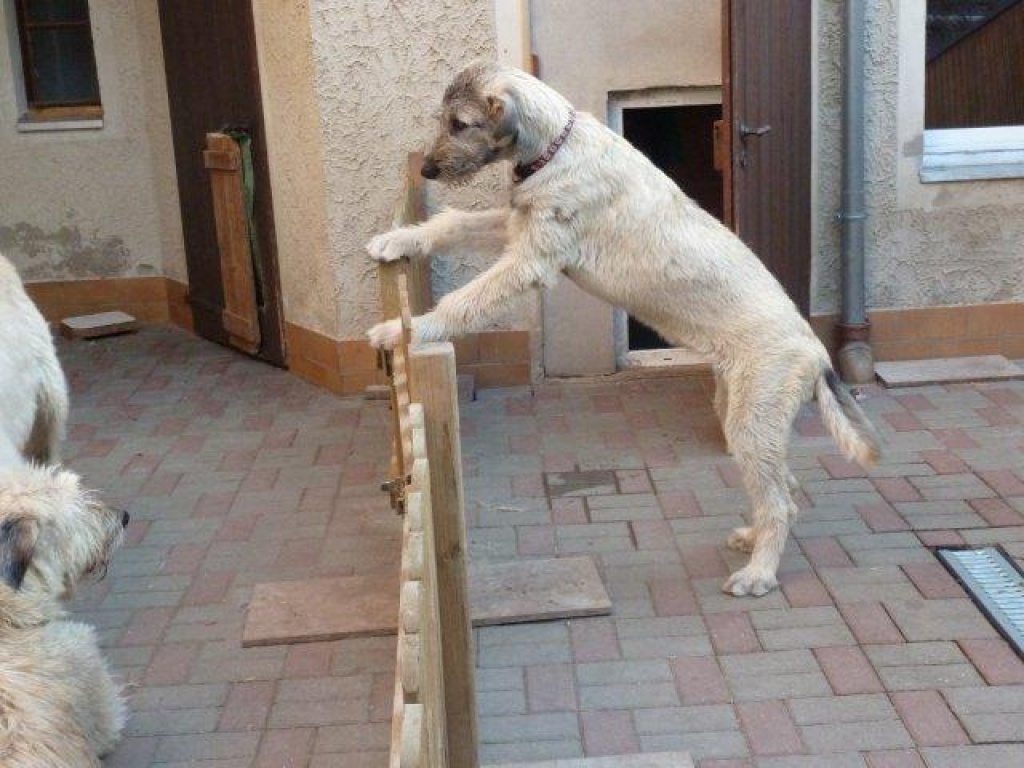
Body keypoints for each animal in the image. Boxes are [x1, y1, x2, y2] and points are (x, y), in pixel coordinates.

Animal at [368, 63, 880, 598]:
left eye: (460, 124)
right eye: (443, 121)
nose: (426, 170)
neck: (555, 147)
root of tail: (817, 352)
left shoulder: (531, 261)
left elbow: (464, 301)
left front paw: (407, 329)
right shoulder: (517, 228)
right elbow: (452, 224)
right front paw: (397, 240)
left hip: (753, 420)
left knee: (780, 501)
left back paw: (759, 572)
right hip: (740, 413)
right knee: (787, 489)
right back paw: (751, 538)